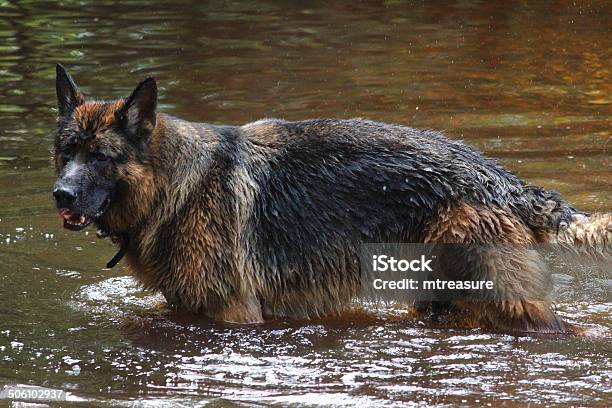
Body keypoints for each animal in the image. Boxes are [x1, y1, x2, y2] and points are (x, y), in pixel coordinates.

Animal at [52, 63, 612, 332]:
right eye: (66, 153)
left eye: (101, 156)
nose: (60, 195)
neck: (173, 184)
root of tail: (503, 178)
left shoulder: (234, 314)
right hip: (439, 301)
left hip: (508, 304)